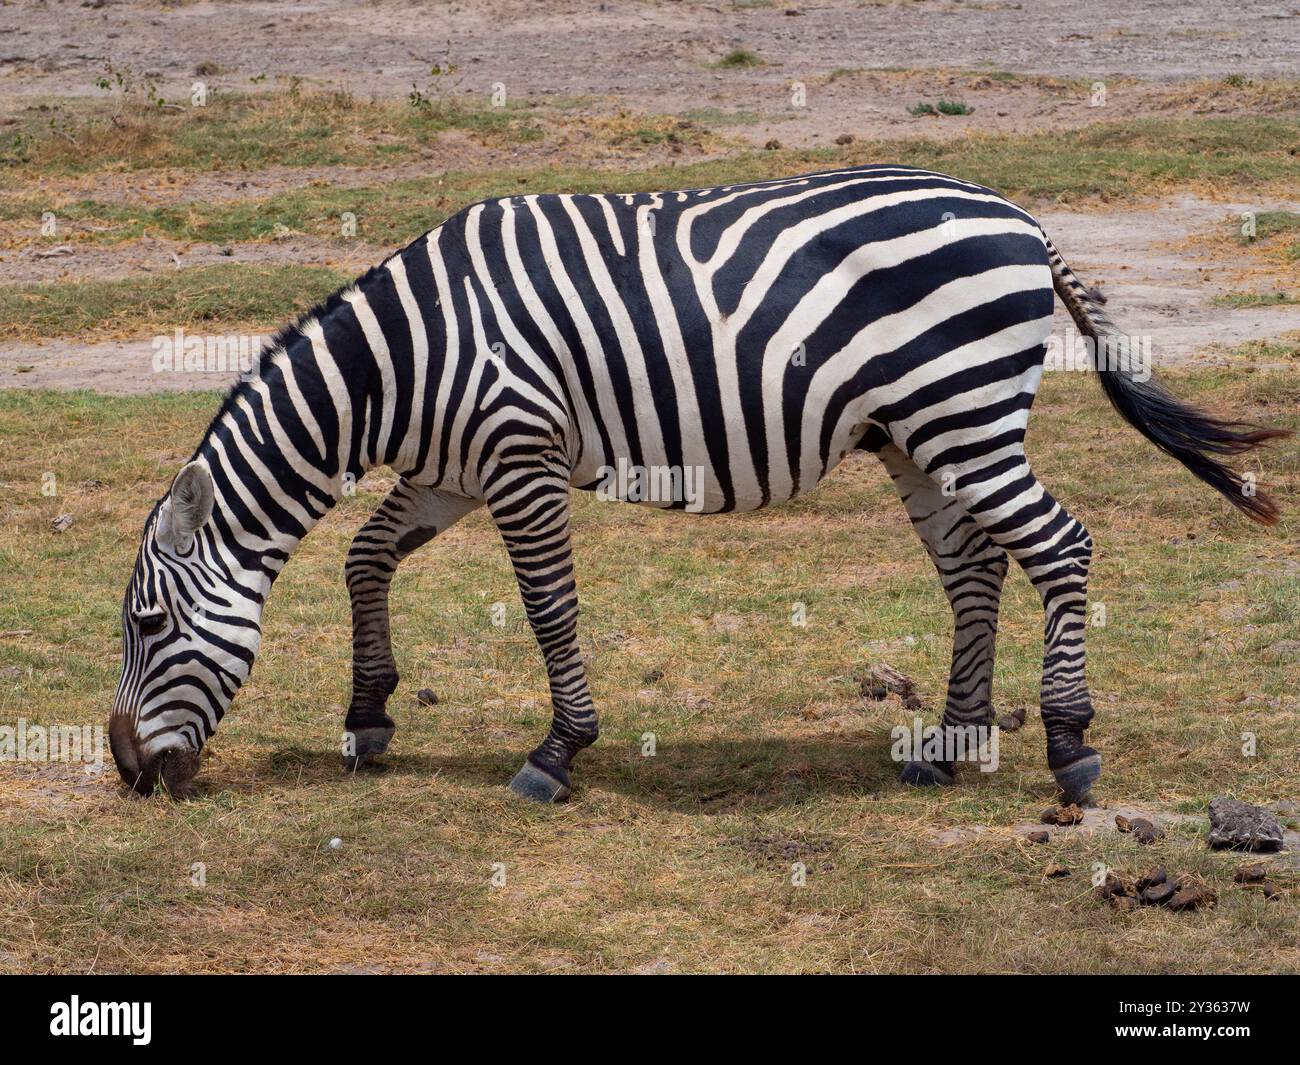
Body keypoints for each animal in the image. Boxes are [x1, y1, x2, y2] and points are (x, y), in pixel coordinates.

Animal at [109, 164, 1285, 804]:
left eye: (149, 626)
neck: (407, 359)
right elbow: (363, 559)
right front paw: (368, 719)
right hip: (921, 431)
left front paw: (556, 752)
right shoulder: (453, 471)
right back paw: (951, 746)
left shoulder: (520, 455)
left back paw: (1071, 746)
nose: (123, 767)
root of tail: (1025, 221)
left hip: (966, 411)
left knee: (1059, 545)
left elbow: (547, 607)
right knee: (975, 567)